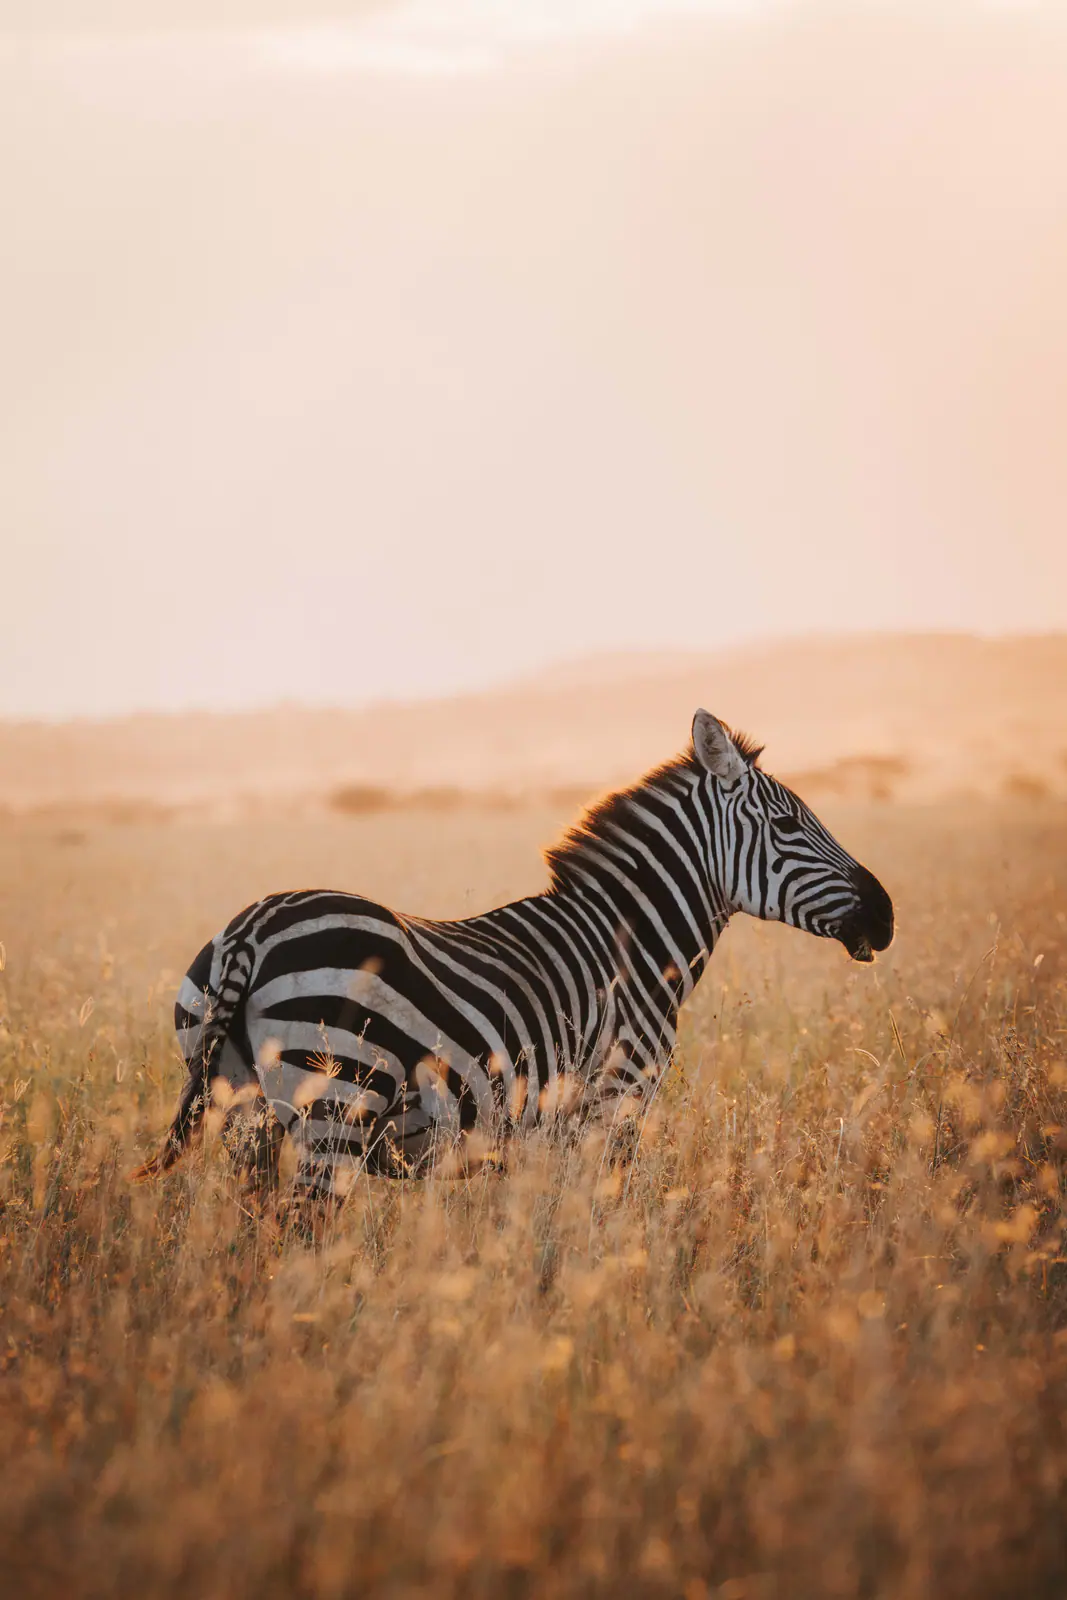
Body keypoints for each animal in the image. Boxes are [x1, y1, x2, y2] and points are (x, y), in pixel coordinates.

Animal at [134, 711, 893, 1195]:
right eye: (788, 824)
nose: (884, 917)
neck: (633, 947)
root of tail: (254, 927)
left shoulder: (545, 1133)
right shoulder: (614, 1103)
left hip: (245, 1118)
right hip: (335, 1104)